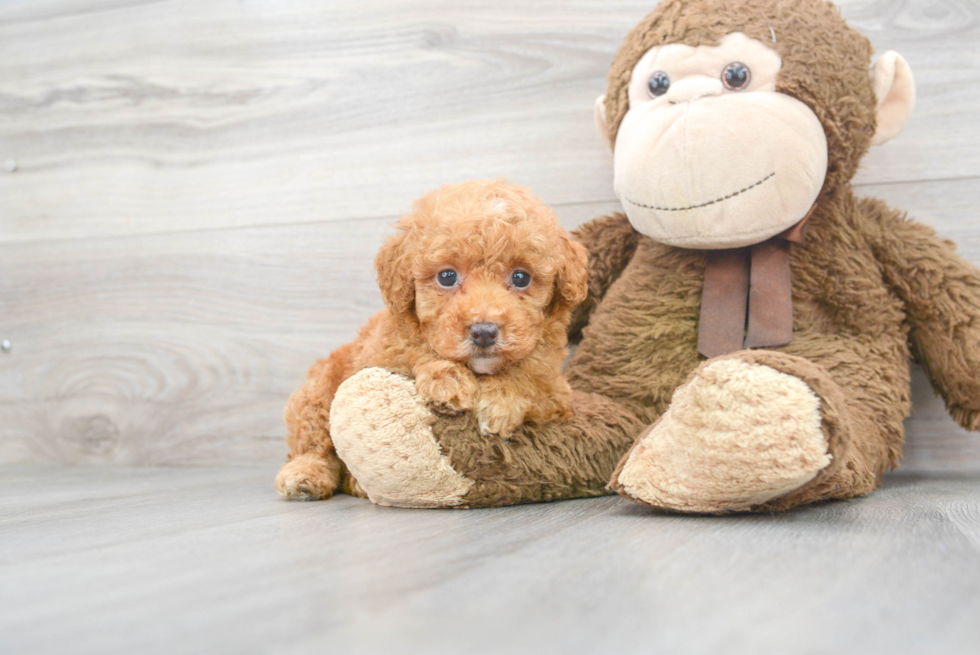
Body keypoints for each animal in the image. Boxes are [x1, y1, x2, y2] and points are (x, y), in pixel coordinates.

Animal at [272, 179, 584, 502]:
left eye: (521, 277)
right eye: (446, 276)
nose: (484, 331)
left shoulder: (557, 393)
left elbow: (529, 377)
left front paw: (501, 402)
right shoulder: (384, 352)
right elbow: (415, 349)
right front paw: (447, 381)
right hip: (317, 392)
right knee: (312, 441)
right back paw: (305, 476)